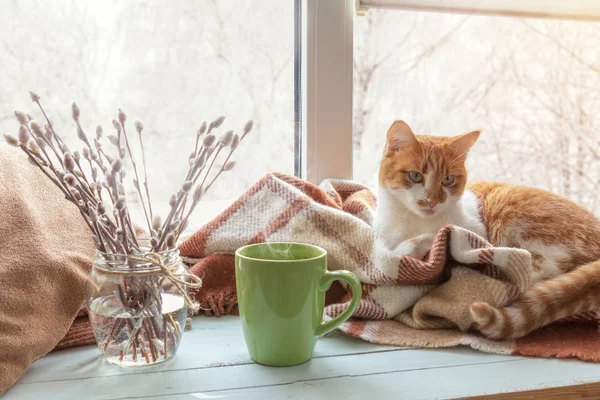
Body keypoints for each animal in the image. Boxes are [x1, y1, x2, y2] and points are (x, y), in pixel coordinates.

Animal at [372, 120, 600, 340]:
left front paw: (404, 251)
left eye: (447, 179)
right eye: (415, 176)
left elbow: (431, 235)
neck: (410, 220)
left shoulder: (472, 232)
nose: (432, 201)